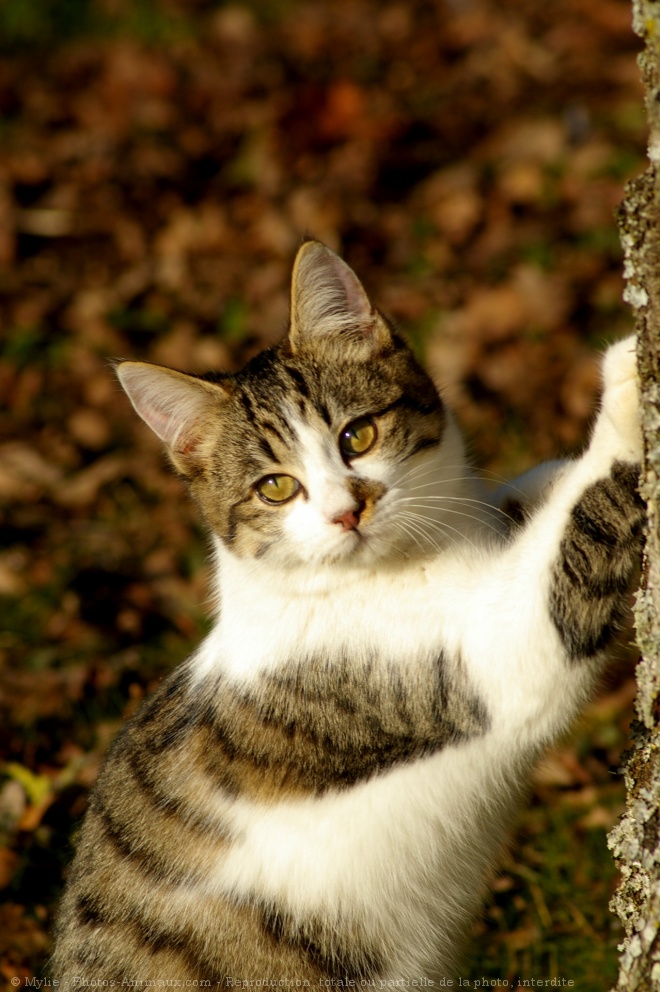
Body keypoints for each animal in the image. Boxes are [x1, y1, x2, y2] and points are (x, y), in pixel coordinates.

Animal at [52, 240, 644, 984]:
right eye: (276, 488)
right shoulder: (489, 661)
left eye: (357, 436)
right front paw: (628, 389)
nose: (347, 510)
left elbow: (525, 500)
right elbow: (572, 543)